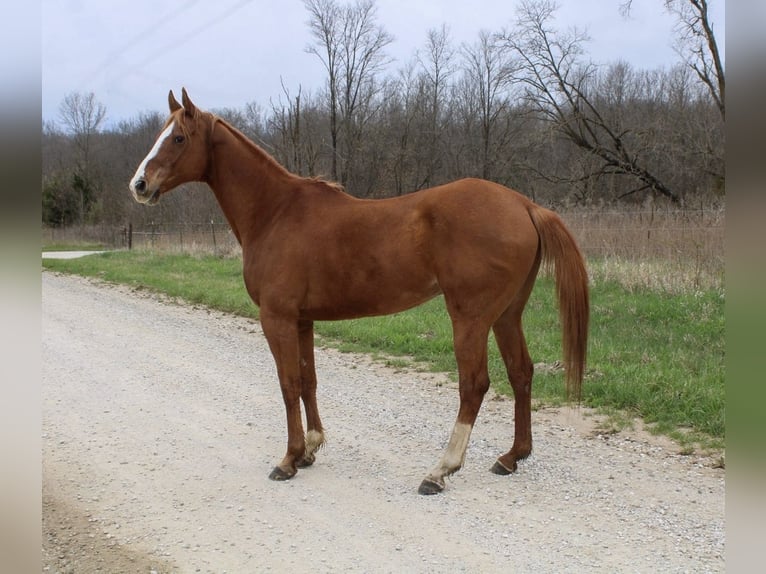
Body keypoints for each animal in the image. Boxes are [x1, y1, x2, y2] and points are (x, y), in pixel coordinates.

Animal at [129, 88, 589, 495]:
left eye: (178, 137)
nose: (139, 184)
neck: (275, 212)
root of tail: (525, 205)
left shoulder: (276, 318)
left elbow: (287, 383)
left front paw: (288, 459)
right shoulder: (302, 320)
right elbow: (308, 380)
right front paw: (310, 449)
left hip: (471, 318)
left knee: (474, 384)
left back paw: (440, 471)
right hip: (507, 314)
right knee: (521, 373)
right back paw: (512, 457)